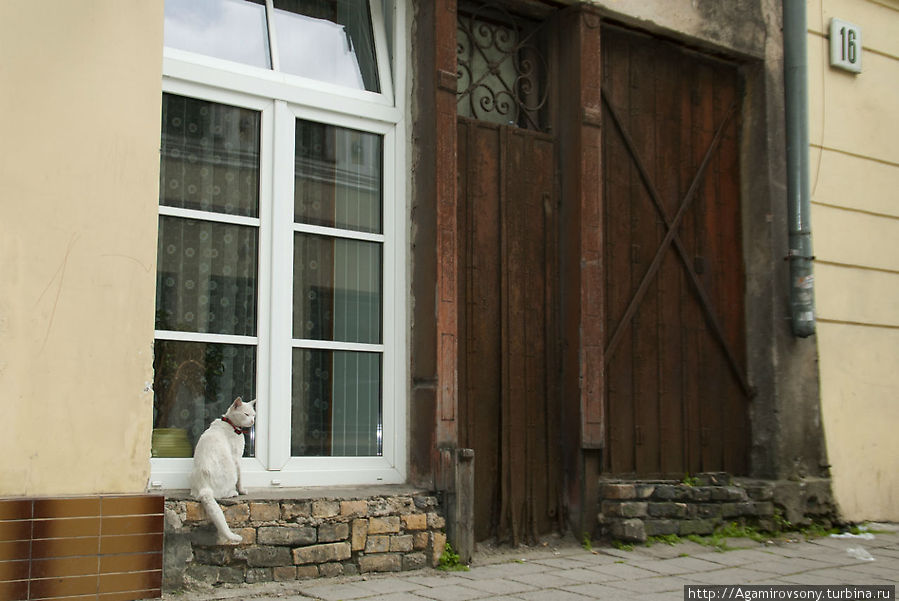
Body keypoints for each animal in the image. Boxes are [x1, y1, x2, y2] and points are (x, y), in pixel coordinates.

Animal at [191, 398, 256, 544]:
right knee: (220, 494)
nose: (252, 421)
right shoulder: (237, 458)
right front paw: (242, 490)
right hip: (230, 467)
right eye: (246, 414)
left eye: (254, 415)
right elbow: (241, 477)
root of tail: (204, 487)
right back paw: (233, 493)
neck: (231, 424)